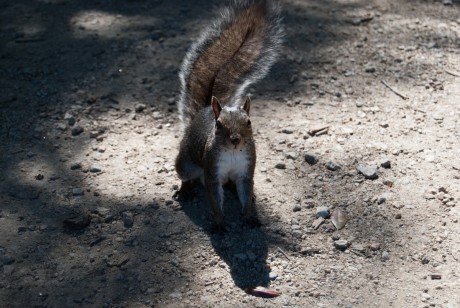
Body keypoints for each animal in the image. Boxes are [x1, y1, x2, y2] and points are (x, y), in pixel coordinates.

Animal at [174, 0, 282, 226]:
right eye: (219, 125)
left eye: (249, 122)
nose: (235, 139)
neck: (233, 152)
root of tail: (205, 110)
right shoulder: (212, 172)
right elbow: (215, 198)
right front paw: (219, 222)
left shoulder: (245, 171)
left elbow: (245, 192)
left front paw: (249, 215)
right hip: (187, 162)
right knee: (186, 175)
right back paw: (185, 189)